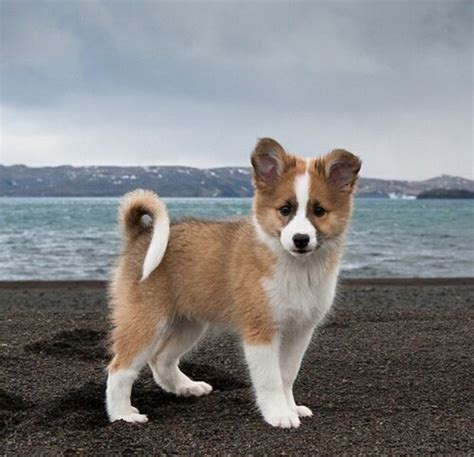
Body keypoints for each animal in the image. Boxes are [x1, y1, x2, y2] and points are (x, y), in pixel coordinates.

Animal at [105, 138, 362, 428]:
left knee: (161, 359)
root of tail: (141, 235)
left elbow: (287, 376)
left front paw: (291, 407)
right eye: (285, 209)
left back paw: (186, 387)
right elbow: (270, 379)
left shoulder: (300, 331)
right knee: (120, 369)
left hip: (189, 323)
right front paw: (278, 414)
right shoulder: (260, 331)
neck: (296, 268)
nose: (300, 239)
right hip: (146, 321)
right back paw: (122, 414)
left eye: (319, 211)